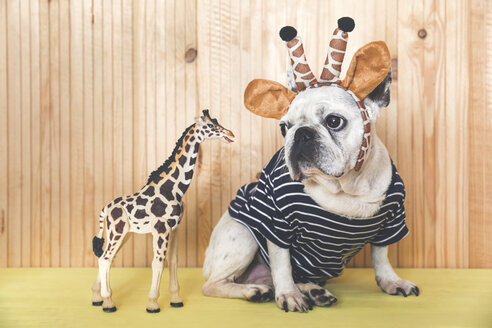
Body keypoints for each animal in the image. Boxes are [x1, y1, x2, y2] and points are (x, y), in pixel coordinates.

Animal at [202, 18, 418, 312]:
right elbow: (282, 264)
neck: (345, 187)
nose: (301, 133)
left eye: (334, 121)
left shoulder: (391, 221)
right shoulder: (276, 223)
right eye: (284, 128)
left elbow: (381, 256)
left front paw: (391, 281)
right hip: (242, 235)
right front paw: (289, 295)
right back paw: (254, 291)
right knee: (213, 285)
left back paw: (311, 290)